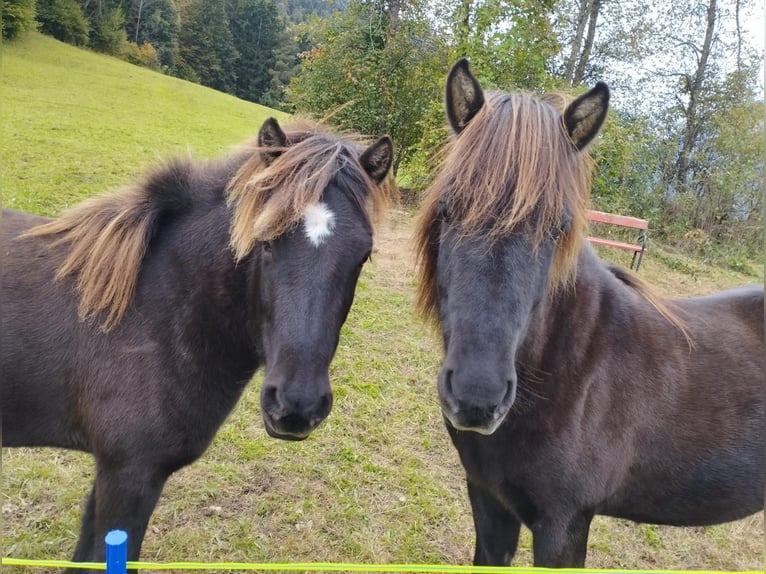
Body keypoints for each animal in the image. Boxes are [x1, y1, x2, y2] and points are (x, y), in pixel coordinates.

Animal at [414, 58, 764, 568]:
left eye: (557, 227)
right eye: (447, 209)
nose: (477, 398)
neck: (573, 369)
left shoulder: (564, 526)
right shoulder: (488, 502)